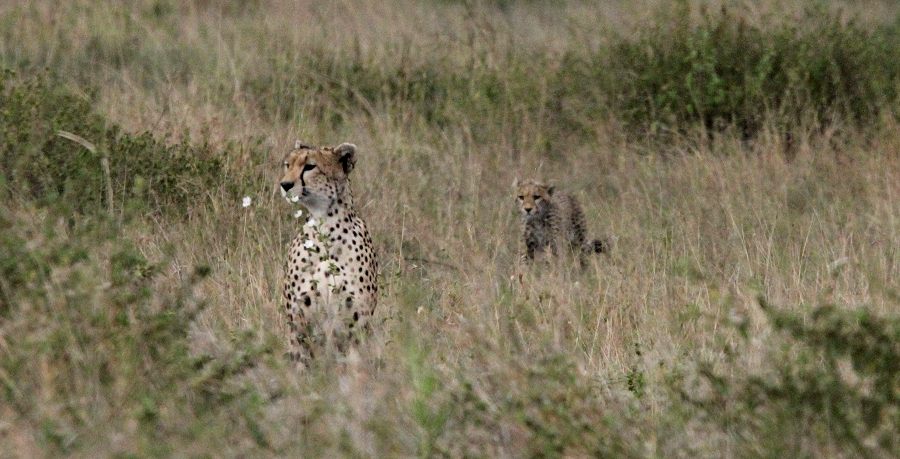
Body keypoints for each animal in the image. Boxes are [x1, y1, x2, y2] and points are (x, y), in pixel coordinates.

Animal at [282, 140, 380, 362]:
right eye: (287, 165)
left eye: (310, 166)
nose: (285, 185)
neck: (326, 227)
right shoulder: (298, 315)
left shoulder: (356, 317)